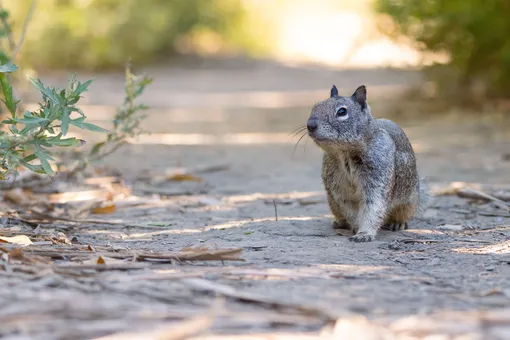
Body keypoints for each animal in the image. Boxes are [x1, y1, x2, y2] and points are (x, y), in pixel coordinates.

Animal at [306, 84, 426, 242]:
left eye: (342, 111)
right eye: (316, 106)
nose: (310, 125)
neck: (344, 154)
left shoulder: (377, 178)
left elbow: (373, 207)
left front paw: (364, 234)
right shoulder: (338, 186)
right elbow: (349, 209)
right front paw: (357, 226)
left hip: (409, 201)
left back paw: (398, 223)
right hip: (332, 204)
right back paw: (340, 223)